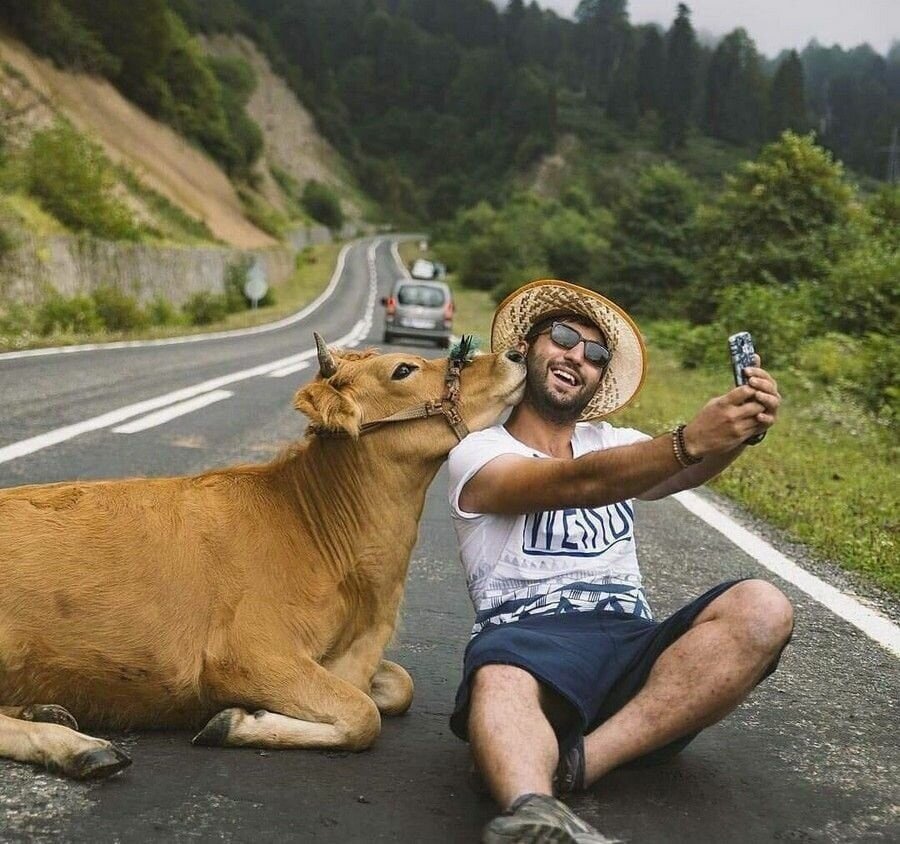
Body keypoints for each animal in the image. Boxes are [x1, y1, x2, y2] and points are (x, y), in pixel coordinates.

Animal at [0, 334, 528, 780]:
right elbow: (362, 714)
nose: (515, 354)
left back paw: (47, 710)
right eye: (403, 369)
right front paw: (234, 722)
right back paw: (78, 746)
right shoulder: (245, 654)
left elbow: (399, 686)